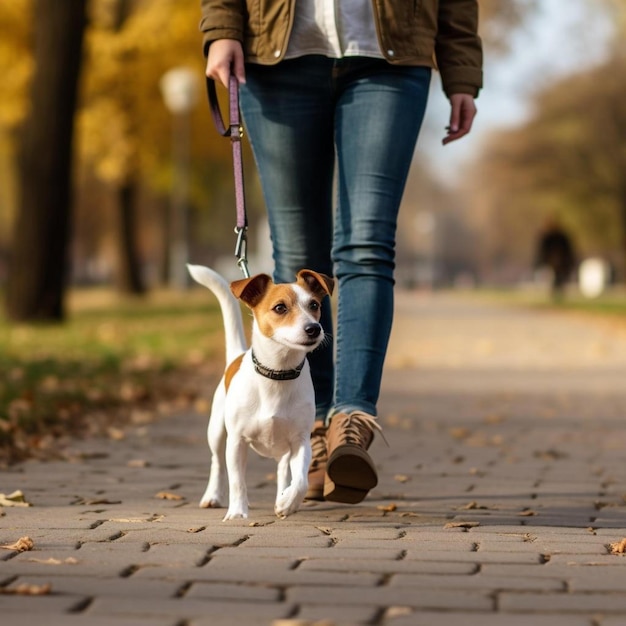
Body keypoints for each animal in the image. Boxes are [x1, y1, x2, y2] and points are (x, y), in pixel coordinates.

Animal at [185, 264, 334, 516]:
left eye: (314, 305)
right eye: (280, 307)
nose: (314, 328)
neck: (278, 374)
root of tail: (236, 355)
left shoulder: (301, 441)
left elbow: (301, 481)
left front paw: (287, 502)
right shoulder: (236, 441)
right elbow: (237, 481)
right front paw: (237, 512)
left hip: (284, 449)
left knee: (283, 470)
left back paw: (282, 494)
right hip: (216, 431)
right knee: (217, 463)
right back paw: (212, 496)